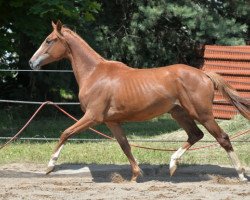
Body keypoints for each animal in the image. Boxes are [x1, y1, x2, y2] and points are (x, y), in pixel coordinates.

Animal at [28, 21, 248, 182]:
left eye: (49, 40)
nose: (31, 62)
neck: (95, 74)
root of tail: (205, 75)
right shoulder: (112, 121)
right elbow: (125, 146)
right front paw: (135, 175)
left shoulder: (92, 117)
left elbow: (65, 133)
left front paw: (50, 166)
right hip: (179, 113)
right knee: (196, 135)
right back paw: (172, 165)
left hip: (202, 114)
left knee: (223, 138)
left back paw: (240, 174)